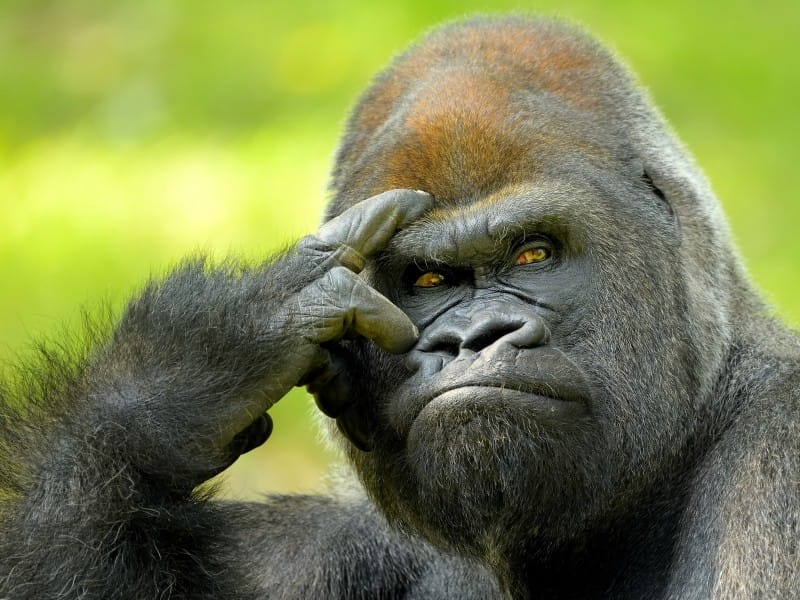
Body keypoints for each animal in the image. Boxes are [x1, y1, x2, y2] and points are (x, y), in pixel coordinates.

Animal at [1, 14, 798, 600]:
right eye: (428, 280)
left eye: (533, 254)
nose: (473, 338)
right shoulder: (319, 548)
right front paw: (185, 373)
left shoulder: (778, 452)